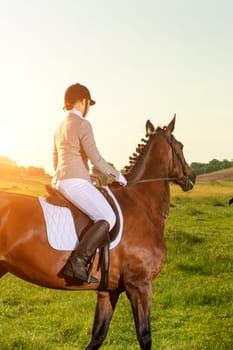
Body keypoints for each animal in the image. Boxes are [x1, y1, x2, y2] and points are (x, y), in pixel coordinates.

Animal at [0, 115, 196, 348]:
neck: (141, 203)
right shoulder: (140, 285)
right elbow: (144, 336)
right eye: (180, 146)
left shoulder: (108, 291)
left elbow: (98, 336)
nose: (191, 177)